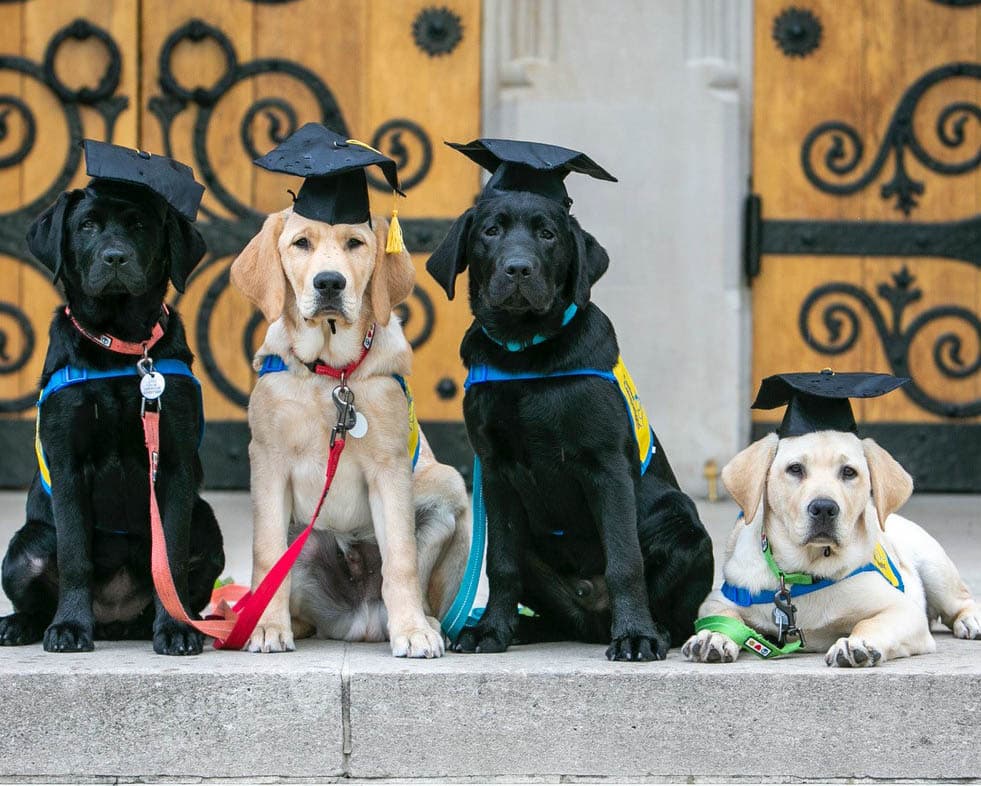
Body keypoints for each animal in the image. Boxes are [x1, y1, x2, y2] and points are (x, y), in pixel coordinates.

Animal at [0, 142, 223, 656]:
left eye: (140, 225)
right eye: (87, 226)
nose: (115, 258)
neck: (120, 347)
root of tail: (112, 618)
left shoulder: (174, 464)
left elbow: (171, 558)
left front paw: (175, 628)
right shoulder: (66, 462)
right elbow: (75, 554)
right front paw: (68, 627)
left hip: (208, 524)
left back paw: (174, 622)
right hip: (23, 546)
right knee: (35, 589)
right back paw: (21, 624)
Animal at [234, 208, 470, 656]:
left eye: (355, 244)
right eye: (301, 243)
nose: (329, 282)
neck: (331, 373)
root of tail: (360, 623)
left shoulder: (390, 469)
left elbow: (401, 559)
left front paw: (412, 631)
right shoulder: (268, 462)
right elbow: (266, 554)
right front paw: (268, 627)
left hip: (449, 485)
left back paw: (424, 622)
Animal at [428, 139, 712, 656]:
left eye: (547, 235)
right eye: (491, 231)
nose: (518, 269)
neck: (526, 356)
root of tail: (593, 618)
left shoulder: (606, 466)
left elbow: (625, 560)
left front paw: (635, 636)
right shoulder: (494, 474)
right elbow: (501, 564)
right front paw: (491, 631)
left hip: (682, 519)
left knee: (677, 618)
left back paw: (652, 630)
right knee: (554, 610)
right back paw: (523, 629)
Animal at [684, 432, 976, 664]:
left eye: (848, 472)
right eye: (795, 469)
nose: (824, 508)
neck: (804, 571)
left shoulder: (903, 610)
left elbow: (870, 622)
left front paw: (855, 643)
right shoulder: (716, 601)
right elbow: (728, 617)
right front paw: (714, 636)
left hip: (934, 566)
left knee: (961, 600)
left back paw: (970, 621)